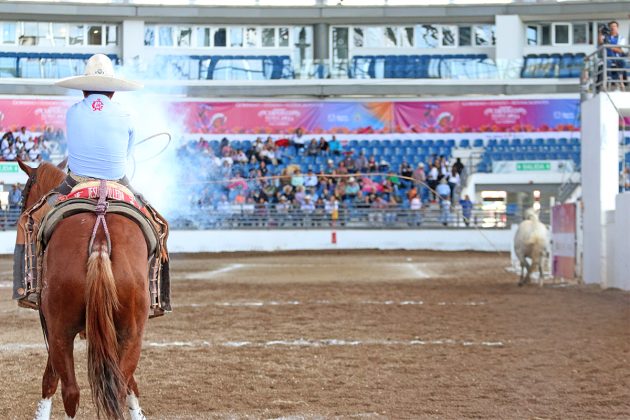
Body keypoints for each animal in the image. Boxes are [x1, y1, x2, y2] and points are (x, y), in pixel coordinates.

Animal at [18, 161, 149, 420]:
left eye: (25, 193)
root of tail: (99, 240)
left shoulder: (49, 325)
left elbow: (50, 379)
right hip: (131, 333)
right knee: (117, 387)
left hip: (60, 332)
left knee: (72, 391)